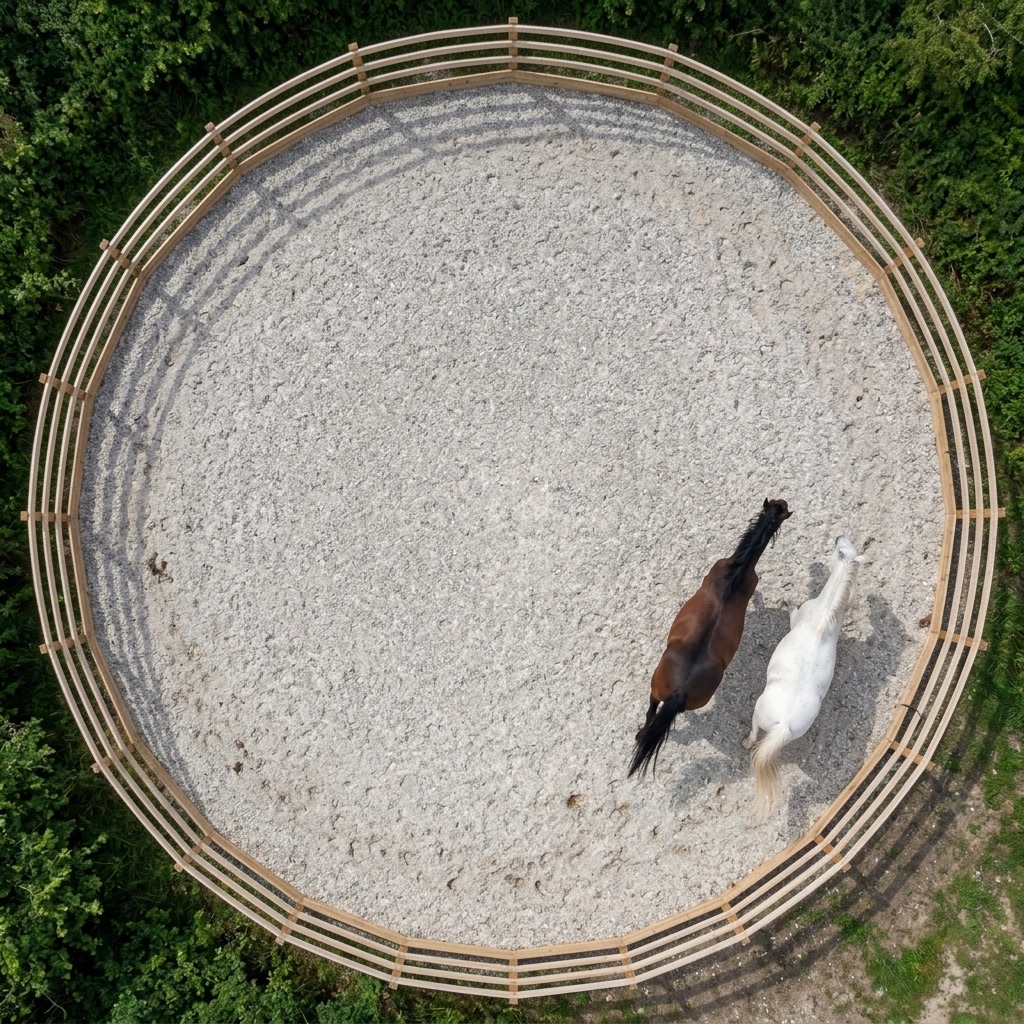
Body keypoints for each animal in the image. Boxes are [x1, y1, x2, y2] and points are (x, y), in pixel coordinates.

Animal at [628, 498, 792, 779]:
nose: (784, 501)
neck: (737, 571)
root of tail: (680, 690)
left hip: (656, 688)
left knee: (651, 713)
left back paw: (641, 735)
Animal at [743, 536, 866, 821]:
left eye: (839, 549)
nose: (838, 536)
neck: (825, 616)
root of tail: (784, 725)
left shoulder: (797, 618)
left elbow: (791, 611)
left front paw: (787, 599)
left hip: (758, 711)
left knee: (754, 733)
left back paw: (745, 743)